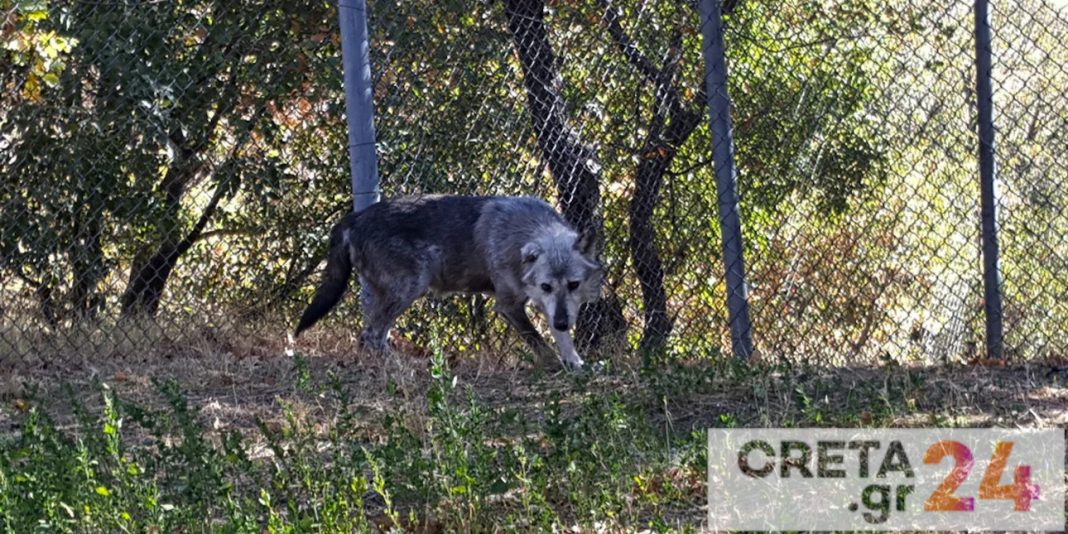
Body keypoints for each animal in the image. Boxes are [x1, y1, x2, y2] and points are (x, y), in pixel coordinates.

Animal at [292, 193, 606, 371]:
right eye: (546, 286)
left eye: (574, 285)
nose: (564, 322)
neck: (524, 230)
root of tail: (353, 218)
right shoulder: (509, 306)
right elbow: (540, 343)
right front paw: (558, 365)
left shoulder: (550, 308)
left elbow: (561, 339)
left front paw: (575, 362)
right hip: (410, 288)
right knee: (371, 336)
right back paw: (402, 366)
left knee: (370, 335)